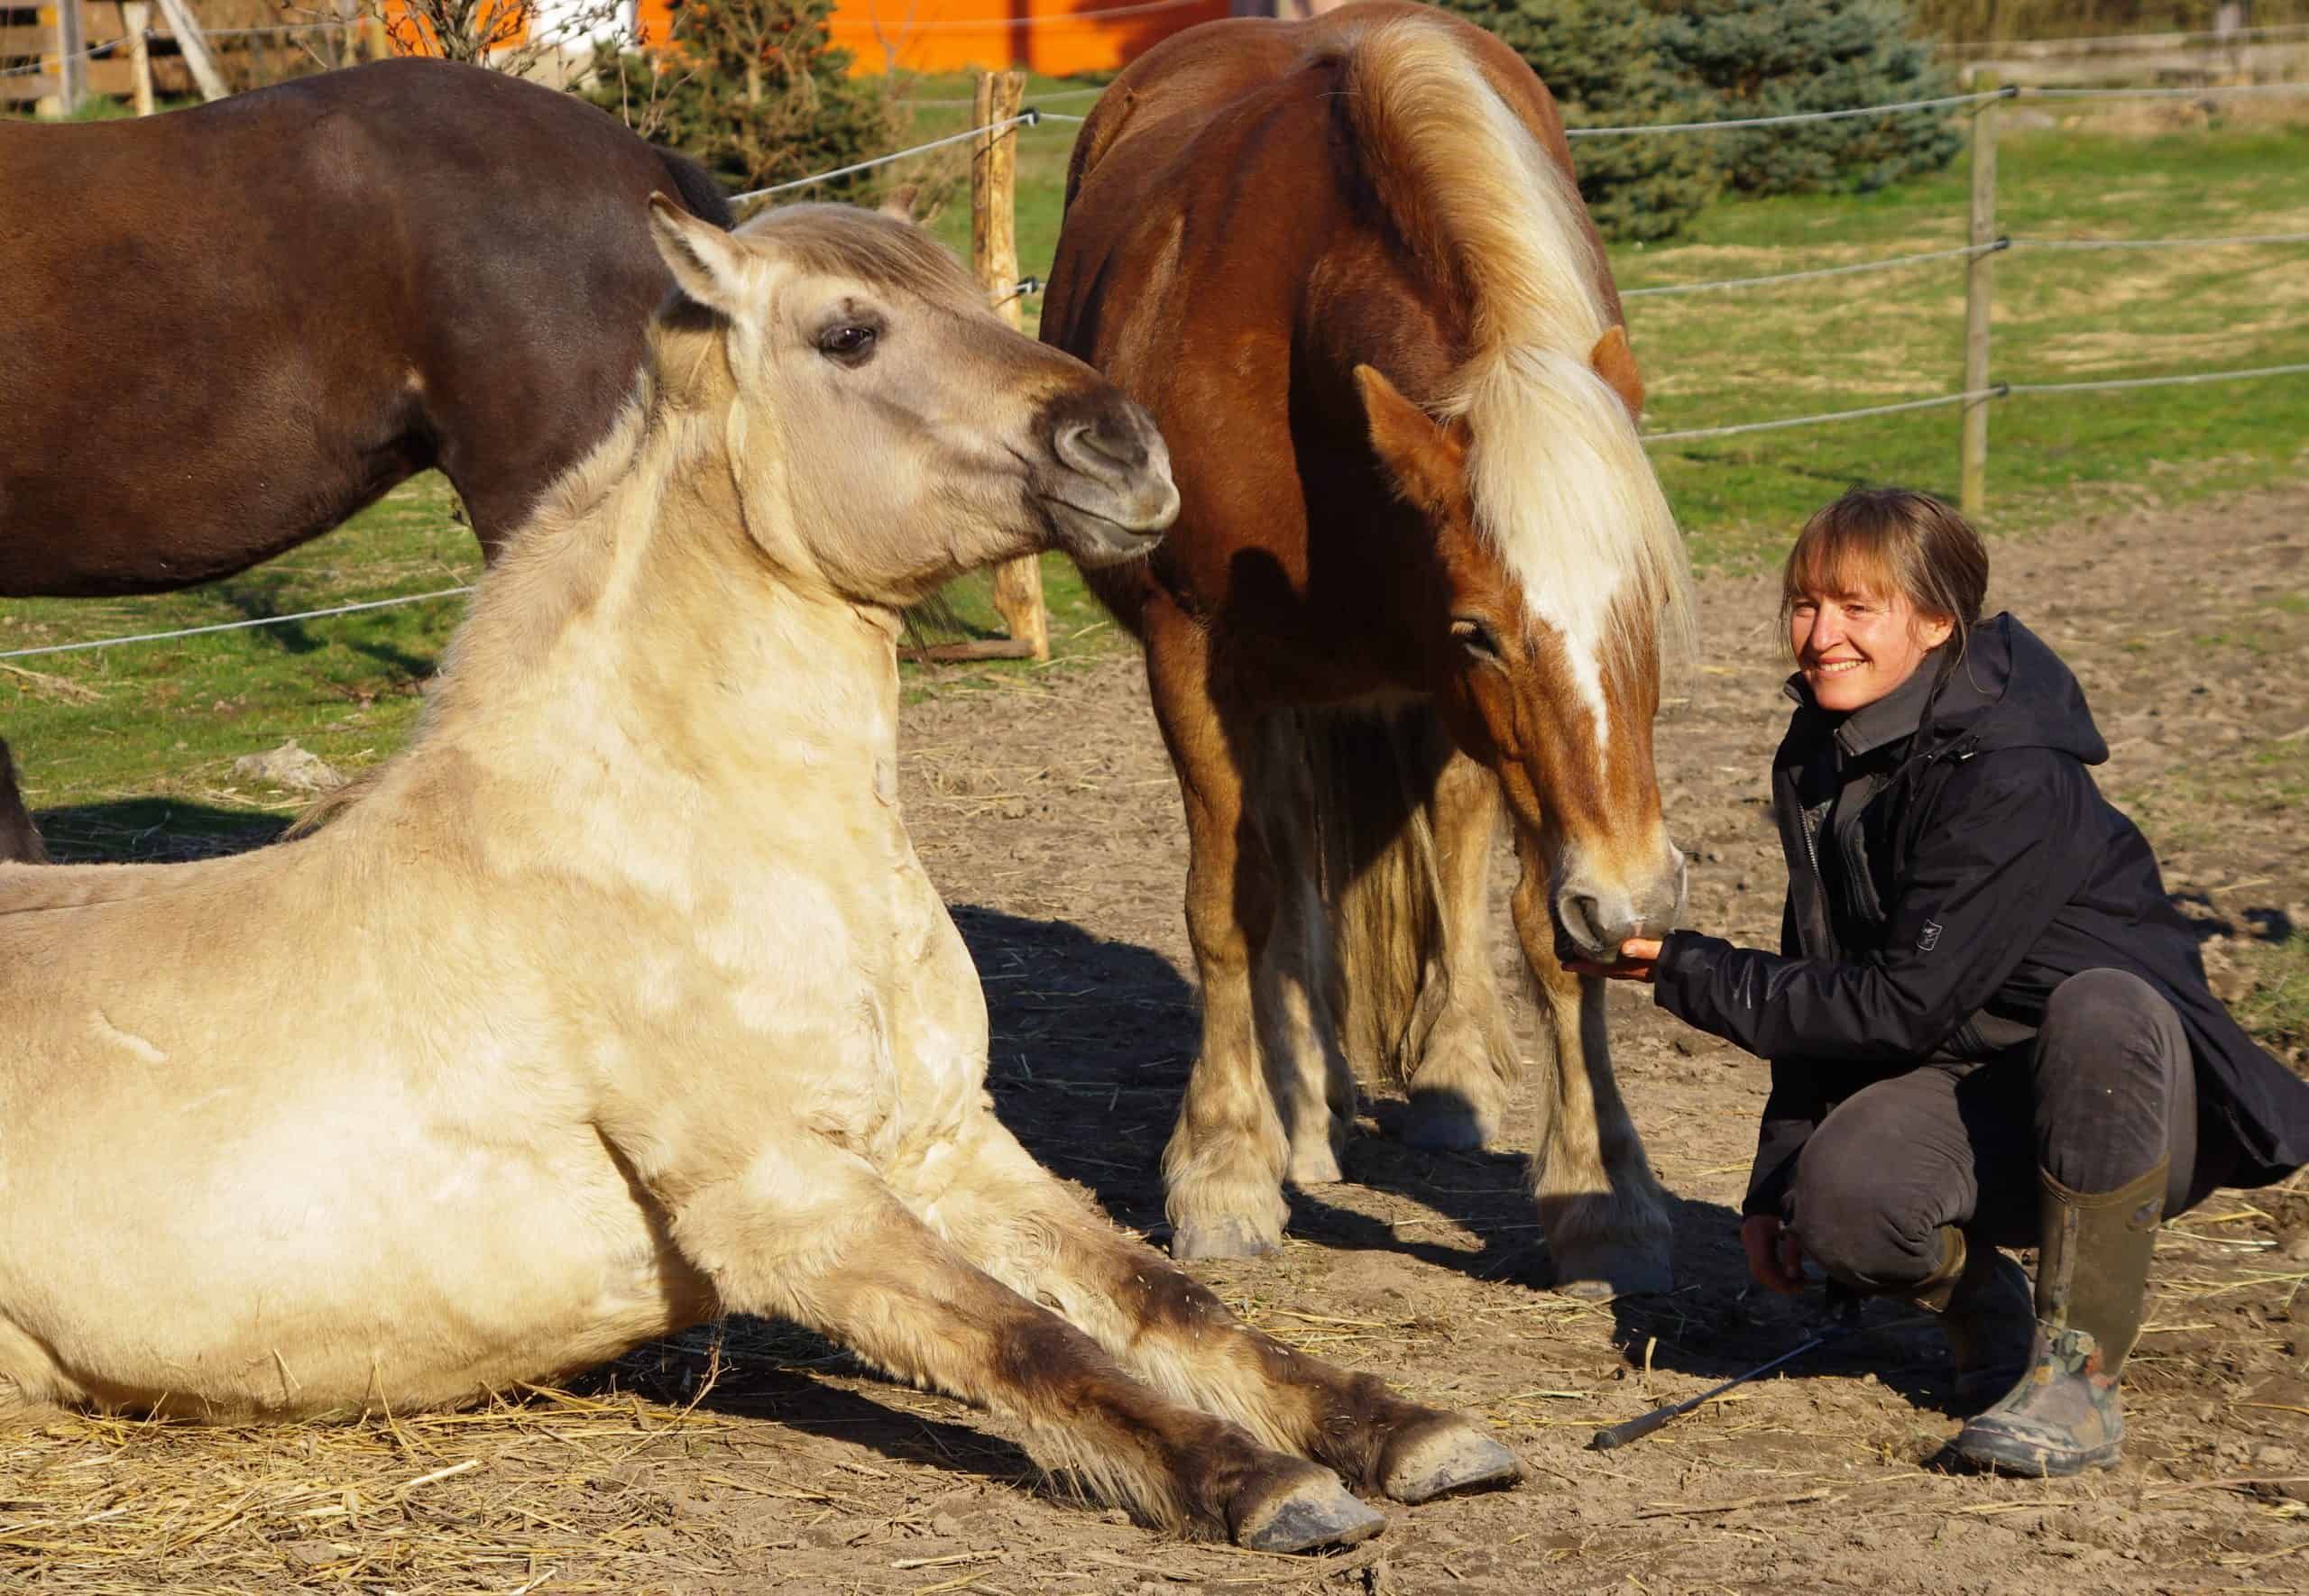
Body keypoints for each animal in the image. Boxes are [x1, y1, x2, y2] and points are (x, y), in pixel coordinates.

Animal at [0, 198, 1519, 1551]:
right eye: (849, 332)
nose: (1127, 450)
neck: (699, 838)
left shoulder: (950, 1145)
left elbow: (1160, 1302)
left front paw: (1406, 1433)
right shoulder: (787, 1199)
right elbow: (1029, 1340)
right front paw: (1264, 1486)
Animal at [1040, 2, 1694, 1293]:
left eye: (1646, 604)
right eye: (1479, 631)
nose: (1636, 900)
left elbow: (1547, 933)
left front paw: (1607, 1198)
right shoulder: (1200, 658)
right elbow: (1227, 906)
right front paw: (1225, 1168)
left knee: (1439, 844)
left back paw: (1446, 1080)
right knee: (1289, 865)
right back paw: (1306, 1107)